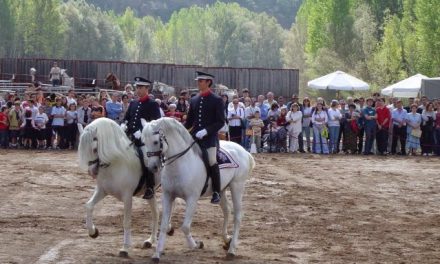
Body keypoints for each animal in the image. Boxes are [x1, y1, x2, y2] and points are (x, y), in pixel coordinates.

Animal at [77, 118, 168, 258]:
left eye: (94, 149)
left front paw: (125, 248)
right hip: (150, 194)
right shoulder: (102, 191)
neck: (115, 162)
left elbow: (126, 221)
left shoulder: (127, 197)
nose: (91, 171)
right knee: (156, 213)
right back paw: (150, 241)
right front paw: (93, 232)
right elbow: (89, 206)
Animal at [142, 117, 254, 262]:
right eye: (144, 142)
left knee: (238, 216)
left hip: (237, 186)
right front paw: (157, 253)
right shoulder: (167, 196)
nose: (152, 167)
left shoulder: (192, 199)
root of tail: (242, 149)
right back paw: (226, 240)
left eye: (156, 141)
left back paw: (232, 249)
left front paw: (196, 244)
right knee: (227, 211)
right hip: (221, 190)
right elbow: (164, 225)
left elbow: (185, 227)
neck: (180, 163)